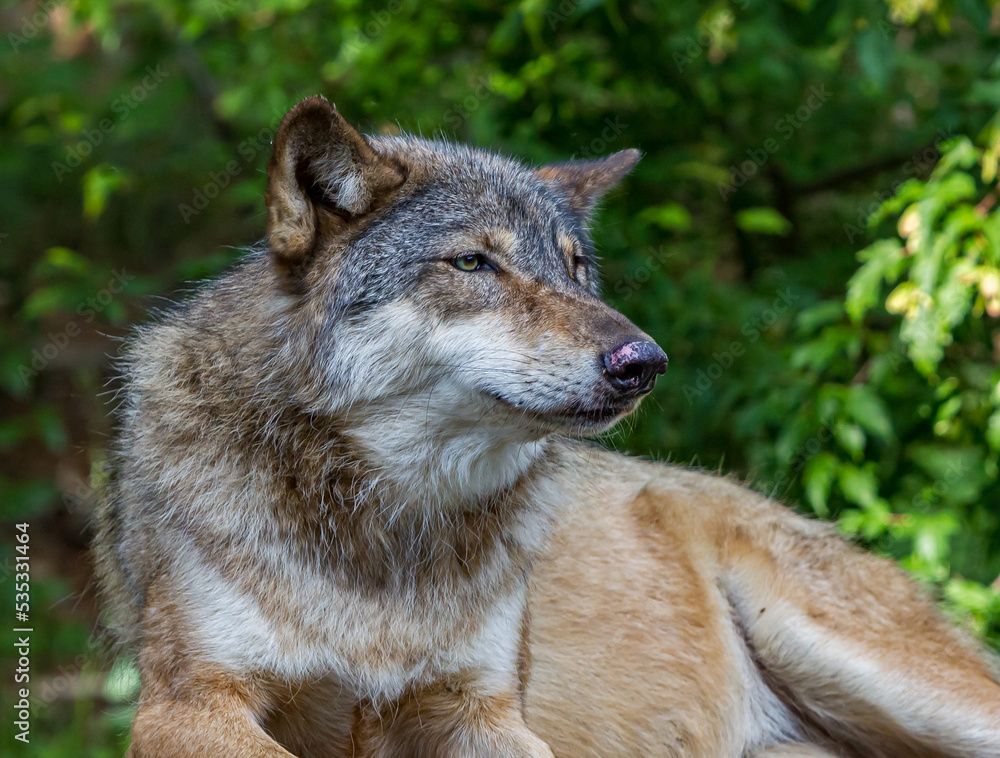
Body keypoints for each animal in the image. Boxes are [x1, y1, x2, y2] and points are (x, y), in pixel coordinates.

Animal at [93, 95, 1000, 758]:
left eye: (576, 268)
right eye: (473, 263)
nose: (645, 361)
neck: (388, 538)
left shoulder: (479, 708)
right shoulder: (187, 702)